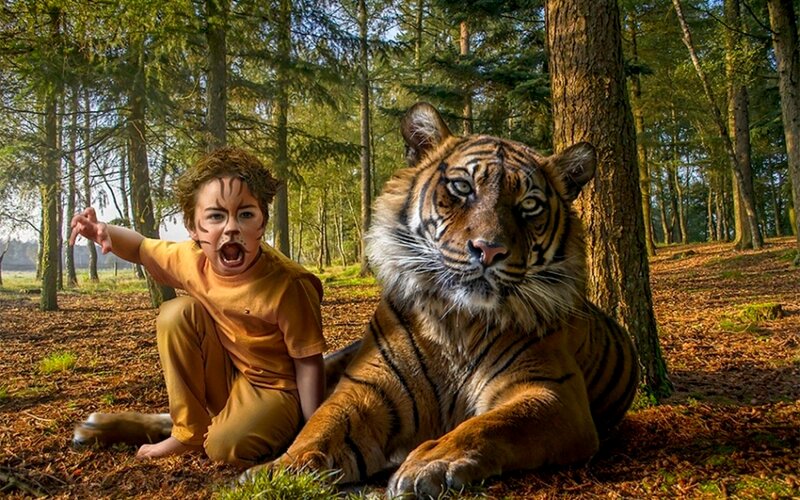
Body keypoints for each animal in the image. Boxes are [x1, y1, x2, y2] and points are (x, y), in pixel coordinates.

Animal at [240, 102, 640, 498]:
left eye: (529, 205)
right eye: (462, 187)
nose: (489, 249)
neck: (458, 322)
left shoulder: (554, 392)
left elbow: (494, 423)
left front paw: (431, 463)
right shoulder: (368, 385)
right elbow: (323, 425)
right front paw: (279, 470)